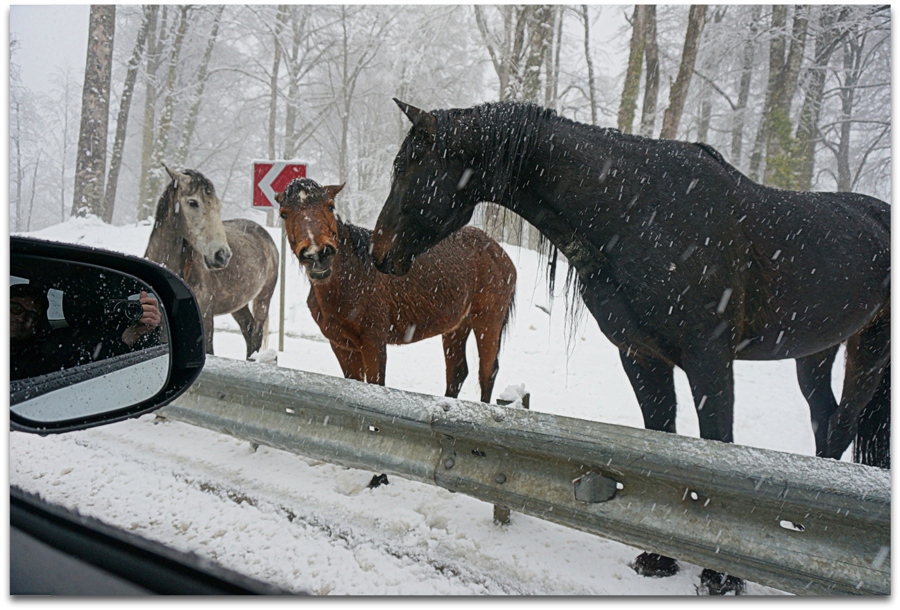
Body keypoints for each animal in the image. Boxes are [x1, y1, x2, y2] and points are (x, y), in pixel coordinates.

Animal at [145, 164, 278, 358]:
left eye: (218, 204)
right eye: (193, 202)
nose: (222, 254)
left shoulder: (206, 322)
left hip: (263, 299)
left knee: (256, 335)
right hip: (239, 305)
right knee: (248, 330)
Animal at [274, 178, 512, 402]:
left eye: (330, 206)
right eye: (284, 214)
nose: (317, 254)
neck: (354, 277)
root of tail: (497, 250)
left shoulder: (374, 344)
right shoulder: (343, 348)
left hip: (487, 321)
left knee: (487, 373)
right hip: (457, 326)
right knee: (457, 372)